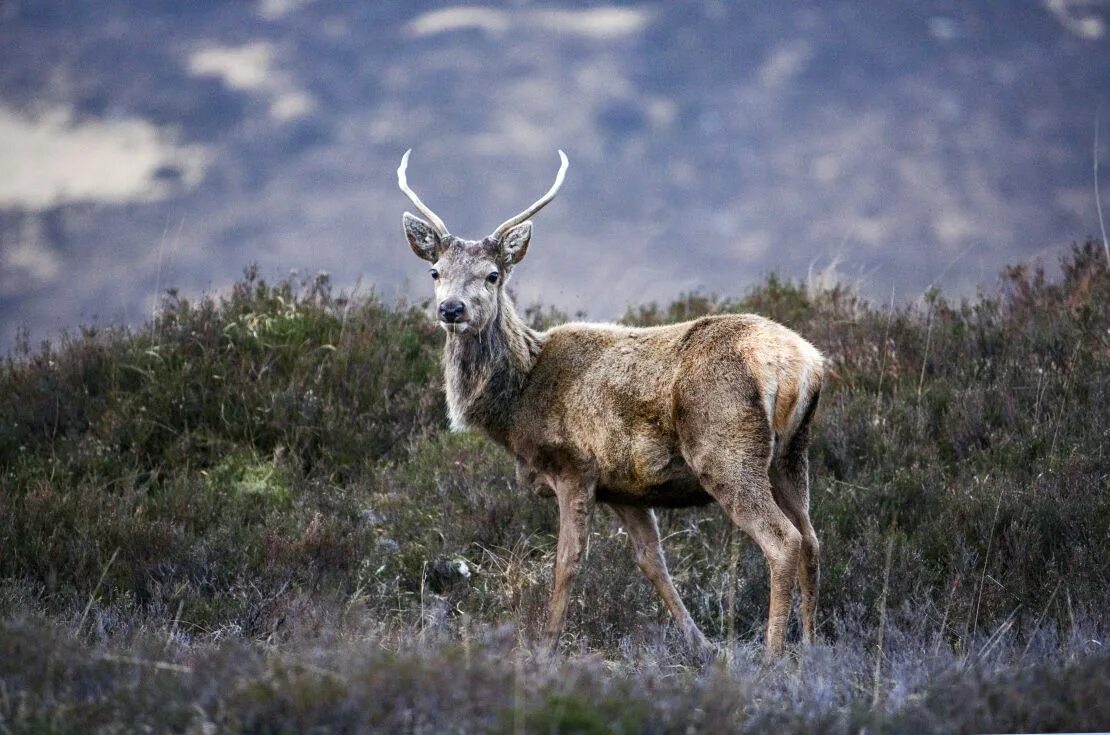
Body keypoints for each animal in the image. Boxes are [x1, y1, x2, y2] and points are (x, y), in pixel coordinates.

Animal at [399, 149, 825, 661]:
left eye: (492, 274)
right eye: (435, 272)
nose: (452, 309)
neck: (518, 405)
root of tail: (804, 363)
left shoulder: (573, 466)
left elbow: (567, 560)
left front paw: (546, 647)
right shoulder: (625, 487)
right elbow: (651, 561)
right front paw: (700, 644)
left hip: (727, 449)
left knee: (783, 541)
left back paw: (772, 656)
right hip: (792, 454)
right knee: (812, 539)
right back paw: (812, 647)